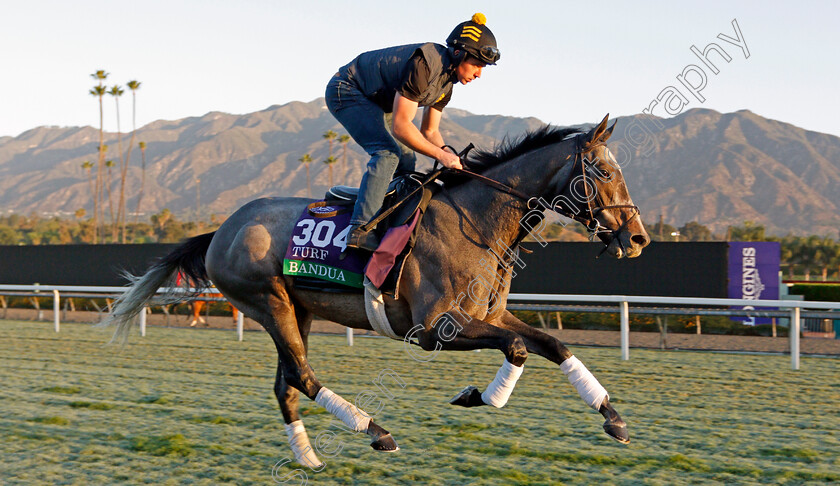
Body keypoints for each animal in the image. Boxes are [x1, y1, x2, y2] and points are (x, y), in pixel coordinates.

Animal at [103, 114, 648, 468]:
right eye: (604, 171)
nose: (637, 237)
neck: (476, 221)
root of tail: (221, 230)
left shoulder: (490, 315)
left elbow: (553, 345)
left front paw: (614, 419)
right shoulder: (433, 330)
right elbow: (517, 348)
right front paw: (478, 396)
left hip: (296, 309)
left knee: (286, 383)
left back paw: (309, 458)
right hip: (267, 302)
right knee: (302, 377)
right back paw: (376, 432)